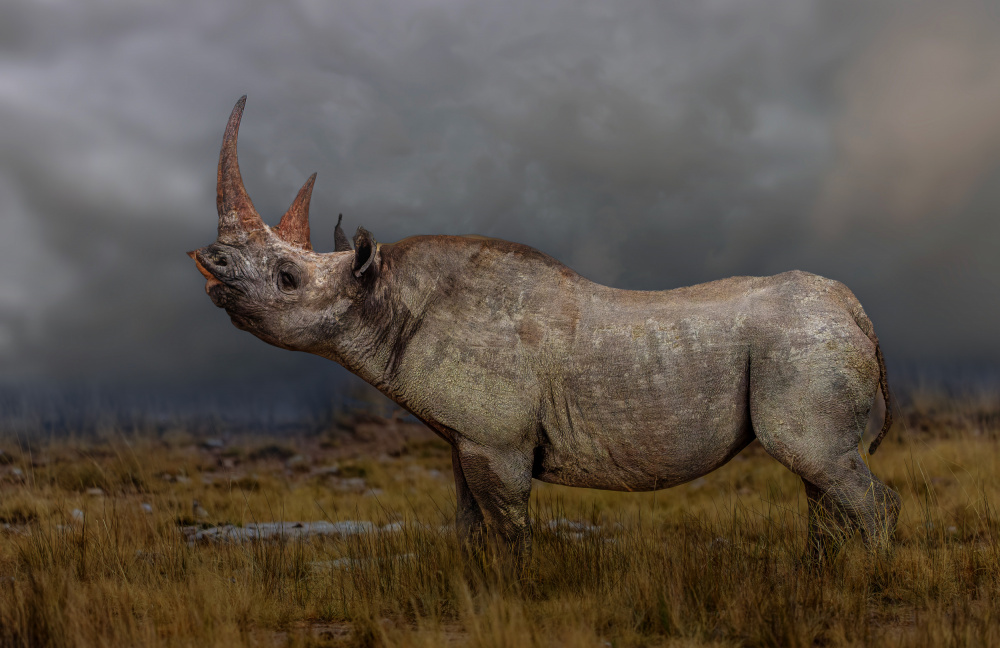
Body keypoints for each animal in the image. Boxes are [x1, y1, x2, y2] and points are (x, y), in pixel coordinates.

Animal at [189, 97, 900, 565]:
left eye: (286, 279)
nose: (210, 265)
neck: (383, 296)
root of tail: (858, 311)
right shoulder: (466, 436)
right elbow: (469, 524)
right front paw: (474, 585)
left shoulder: (496, 440)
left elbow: (508, 525)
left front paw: (514, 589)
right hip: (807, 341)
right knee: (819, 476)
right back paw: (820, 573)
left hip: (803, 344)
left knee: (820, 463)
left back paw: (869, 578)